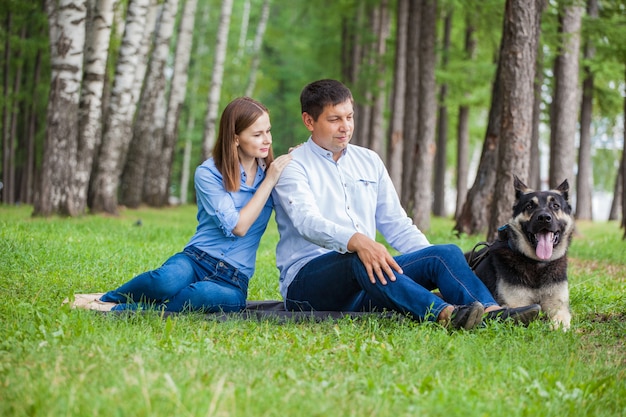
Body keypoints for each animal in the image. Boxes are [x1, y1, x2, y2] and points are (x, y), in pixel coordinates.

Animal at [466, 175, 572, 328]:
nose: (544, 218)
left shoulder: (560, 307)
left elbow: (561, 321)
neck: (537, 264)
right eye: (529, 206)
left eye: (555, 206)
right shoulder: (516, 304)